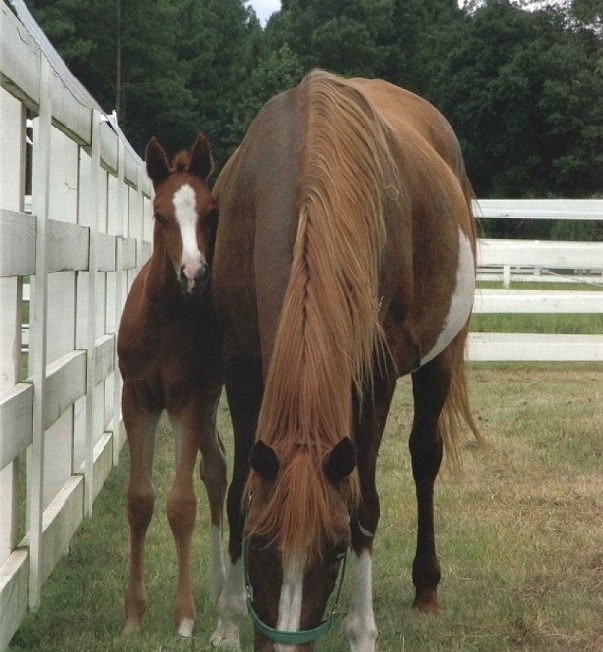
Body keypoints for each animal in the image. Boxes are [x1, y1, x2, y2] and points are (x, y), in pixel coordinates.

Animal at [209, 70, 483, 651]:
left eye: (334, 551)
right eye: (260, 543)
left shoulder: (374, 379)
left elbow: (365, 507)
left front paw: (361, 630)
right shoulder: (239, 365)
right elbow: (238, 489)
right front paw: (227, 620)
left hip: (440, 359)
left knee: (425, 456)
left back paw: (426, 587)